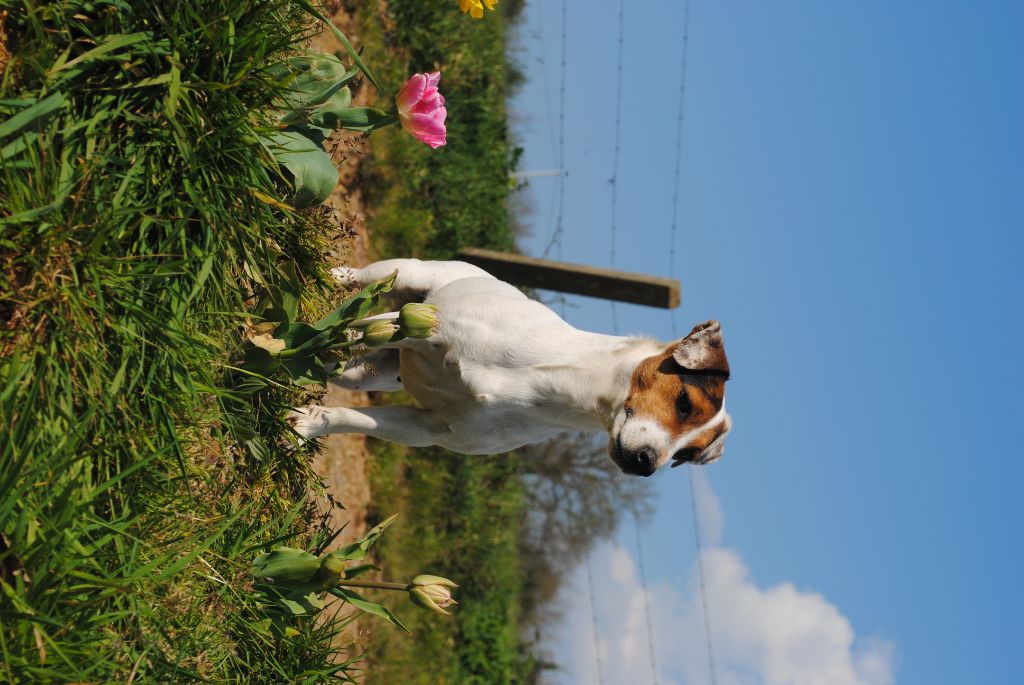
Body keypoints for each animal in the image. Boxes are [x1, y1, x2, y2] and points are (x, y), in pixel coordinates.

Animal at [288, 255, 733, 475]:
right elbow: (345, 331)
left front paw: (307, 426)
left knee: (341, 365)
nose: (647, 465)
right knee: (355, 286)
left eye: (686, 455)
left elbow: (351, 419)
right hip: (402, 285)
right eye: (684, 402)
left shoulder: (426, 428)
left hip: (371, 372)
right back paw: (319, 277)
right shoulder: (418, 332)